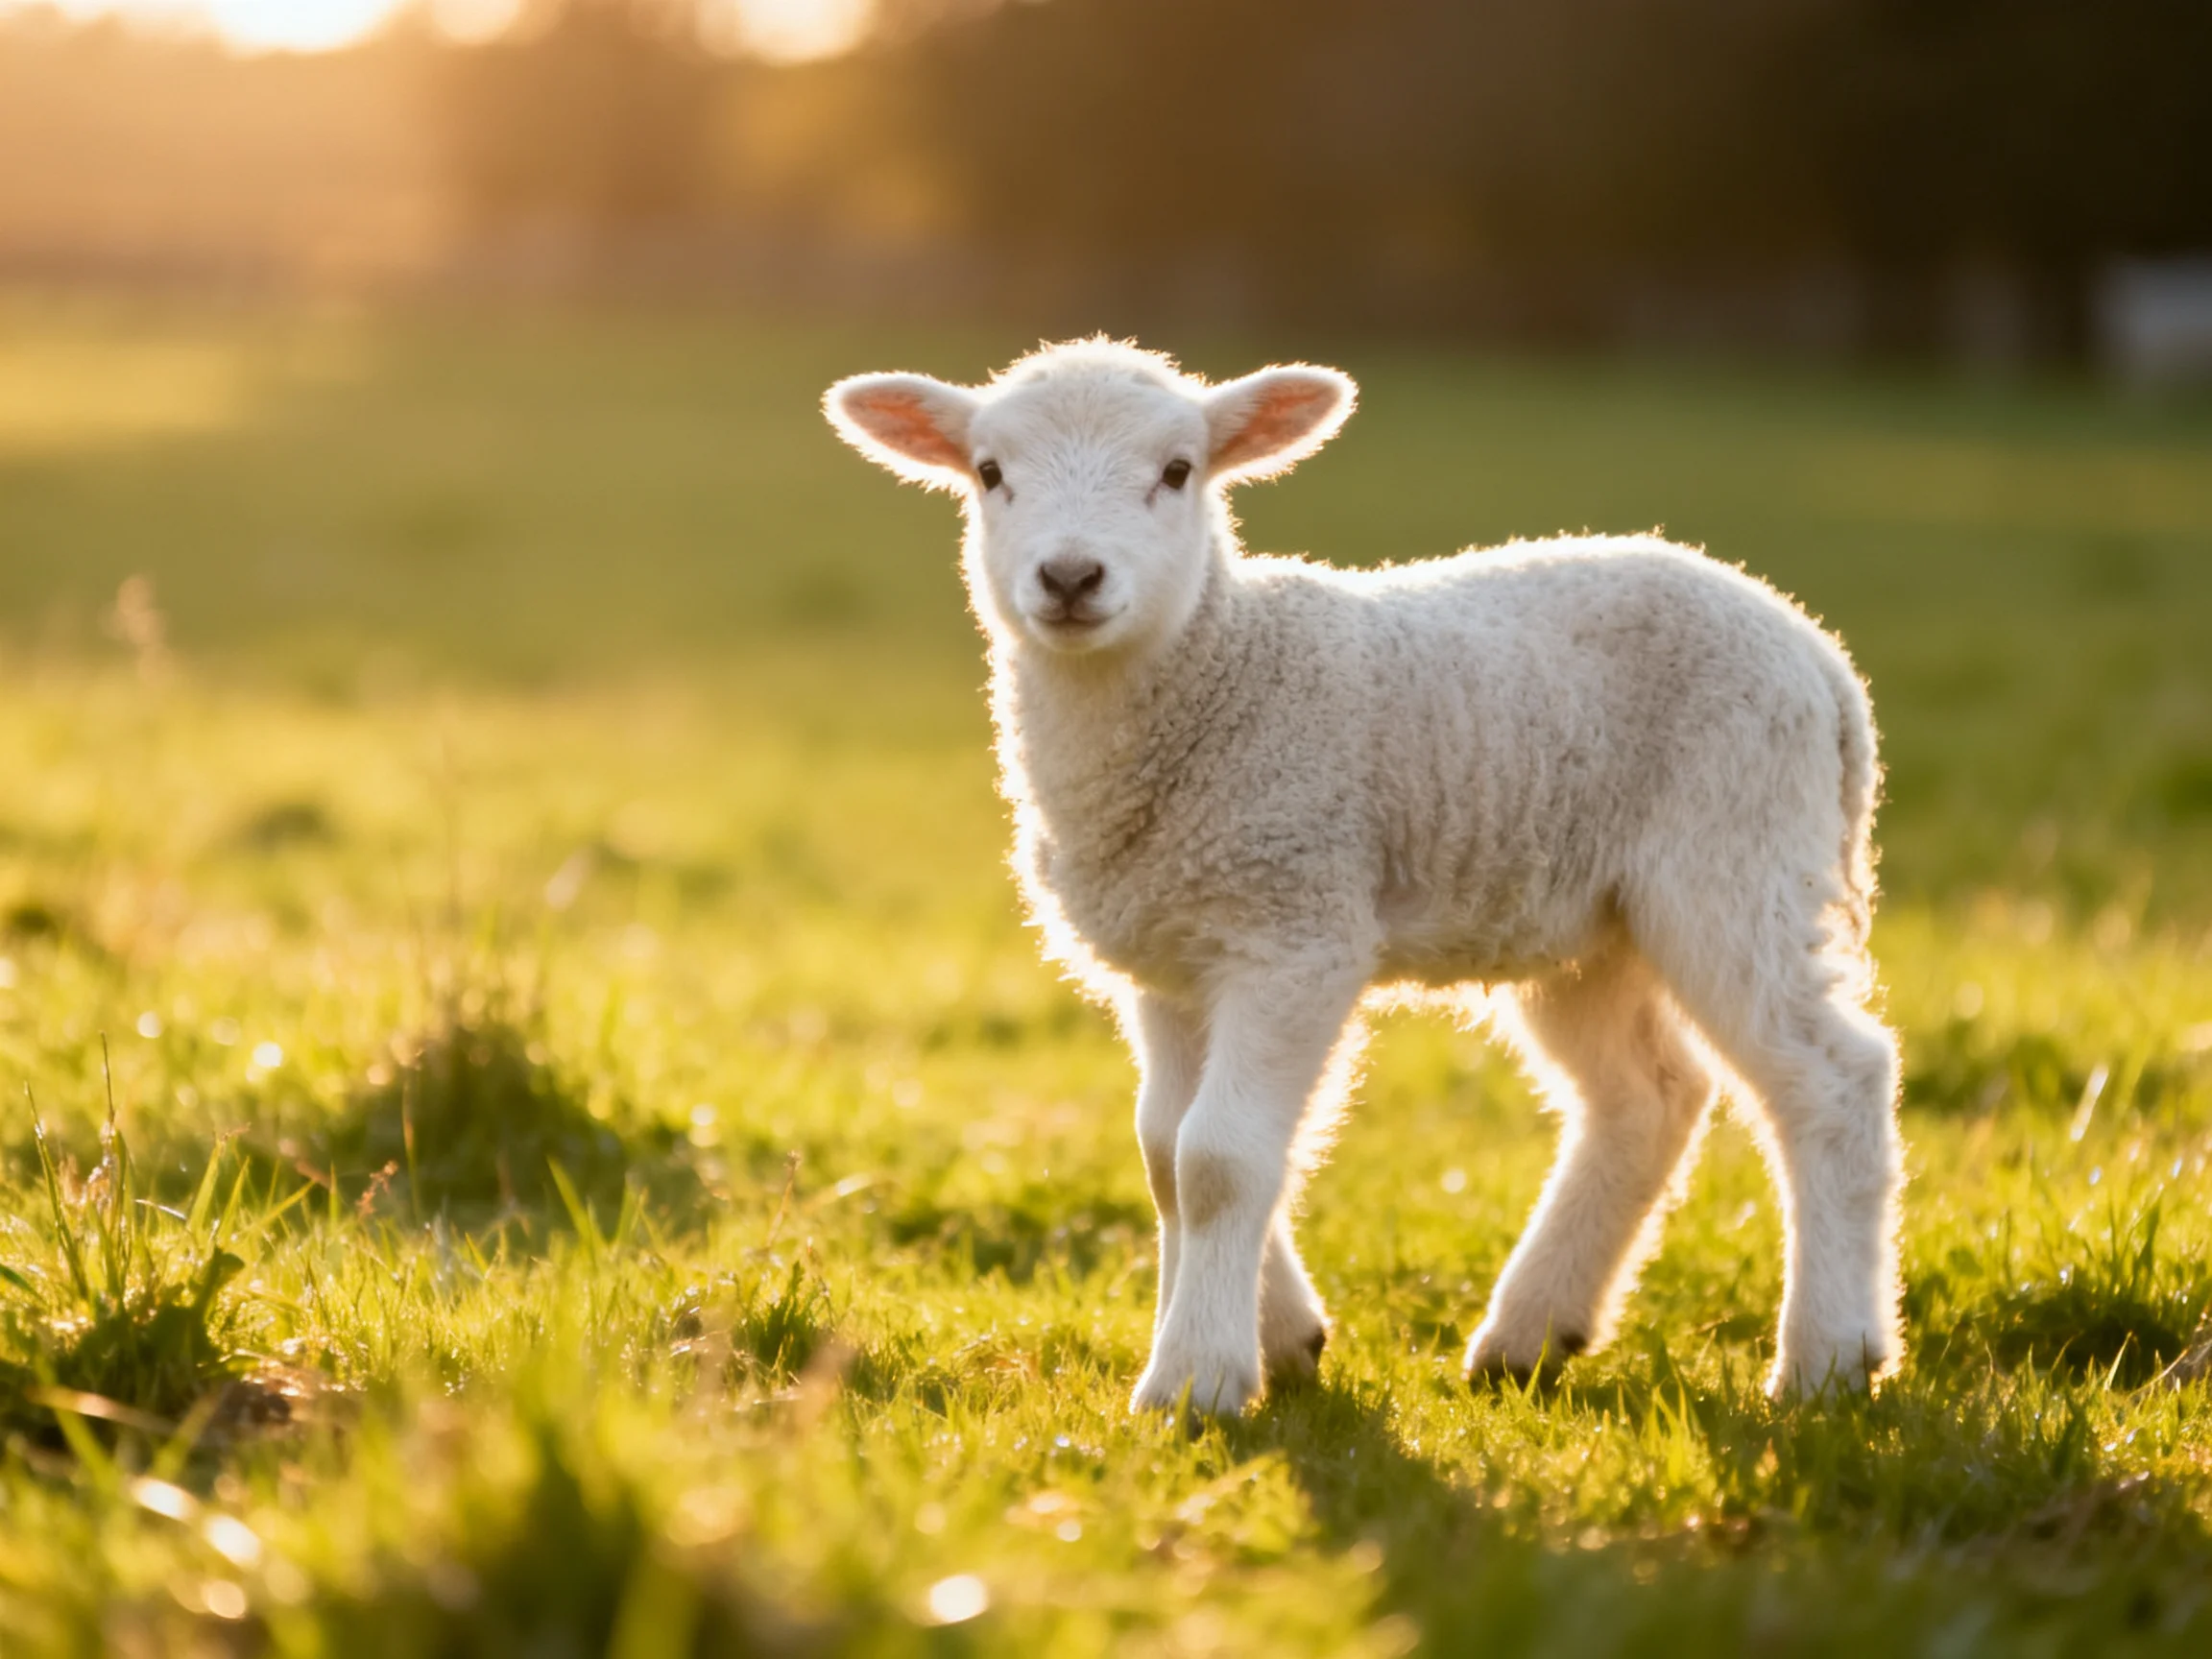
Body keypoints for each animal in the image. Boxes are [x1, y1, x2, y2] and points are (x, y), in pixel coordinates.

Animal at [823, 338, 1904, 1419]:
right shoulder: (1171, 957)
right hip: (1586, 924)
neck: (1216, 678)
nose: (1071, 575)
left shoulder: (1296, 926)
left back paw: (1827, 1359)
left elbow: (1219, 1158)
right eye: (989, 473)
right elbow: (1166, 1152)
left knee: (1832, 1077)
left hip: (1736, 854)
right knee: (1649, 1097)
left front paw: (1195, 1380)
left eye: (1177, 471)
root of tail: (1818, 653)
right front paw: (1279, 1333)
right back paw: (1531, 1335)